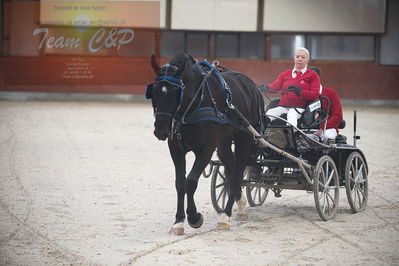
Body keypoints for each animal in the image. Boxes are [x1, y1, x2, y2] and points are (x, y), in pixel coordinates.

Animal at [147, 52, 266, 235]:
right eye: (154, 92)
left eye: (175, 92)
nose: (160, 130)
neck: (193, 105)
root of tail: (252, 86)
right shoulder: (176, 150)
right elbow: (180, 183)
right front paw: (178, 222)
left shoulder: (206, 149)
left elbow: (190, 181)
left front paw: (194, 217)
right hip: (224, 143)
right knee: (230, 171)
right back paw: (240, 206)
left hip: (244, 139)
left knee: (237, 173)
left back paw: (225, 216)